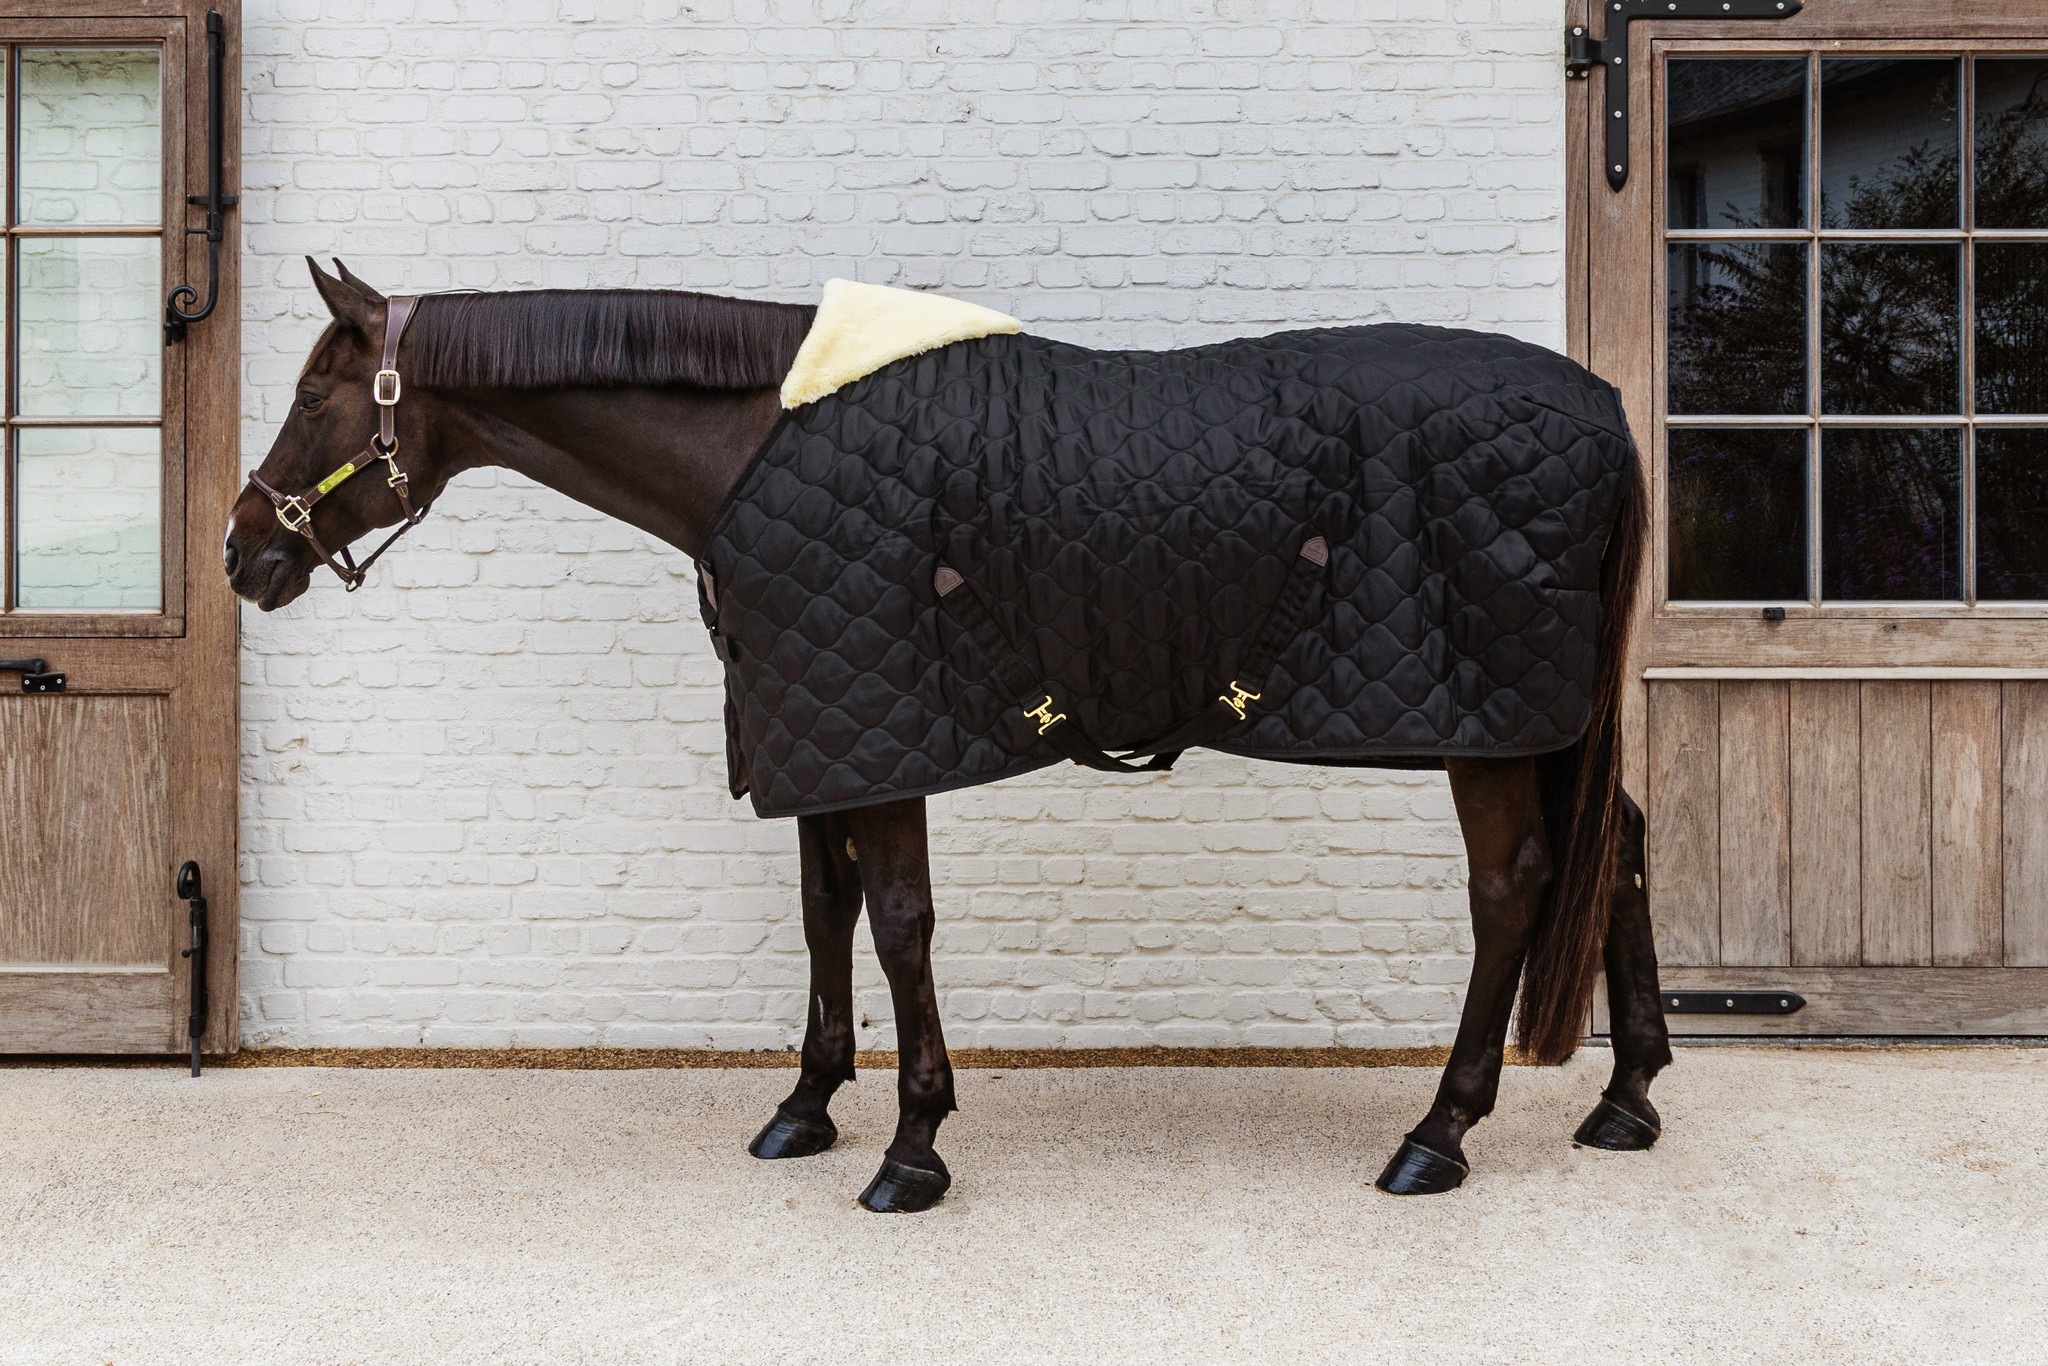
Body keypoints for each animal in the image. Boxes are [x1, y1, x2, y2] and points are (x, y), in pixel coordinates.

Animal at [225, 259, 1671, 1213]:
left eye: (315, 399)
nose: (245, 553)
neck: (758, 442)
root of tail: (1605, 411)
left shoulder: (888, 730)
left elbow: (899, 920)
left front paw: (911, 1146)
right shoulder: (817, 727)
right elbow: (828, 914)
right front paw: (804, 1107)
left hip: (1488, 729)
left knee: (1513, 886)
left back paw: (1439, 1133)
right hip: (1539, 725)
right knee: (1619, 849)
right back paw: (1626, 1098)